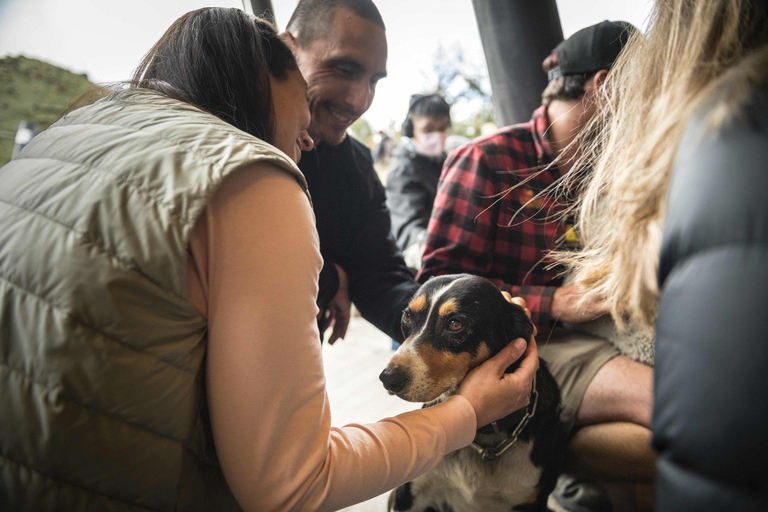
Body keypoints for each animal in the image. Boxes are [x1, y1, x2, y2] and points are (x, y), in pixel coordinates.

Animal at [380, 276, 568, 512]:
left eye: (455, 324)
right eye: (407, 317)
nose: (389, 378)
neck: (485, 438)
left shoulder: (532, 501)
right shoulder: (408, 496)